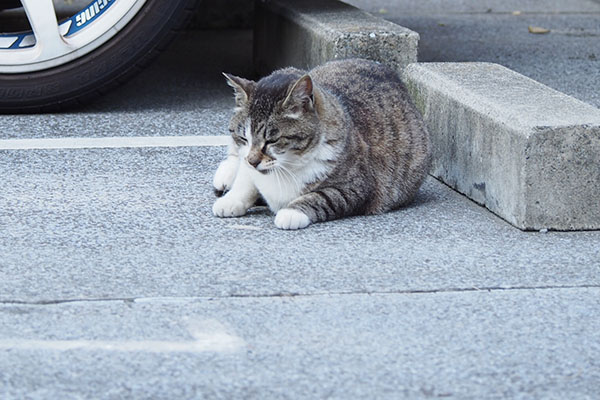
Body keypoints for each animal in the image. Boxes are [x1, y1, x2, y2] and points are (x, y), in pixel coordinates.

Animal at [213, 57, 428, 230]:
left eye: (272, 140)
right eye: (244, 138)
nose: (253, 160)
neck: (287, 167)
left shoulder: (355, 187)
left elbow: (320, 198)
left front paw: (291, 212)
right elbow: (245, 179)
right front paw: (231, 200)